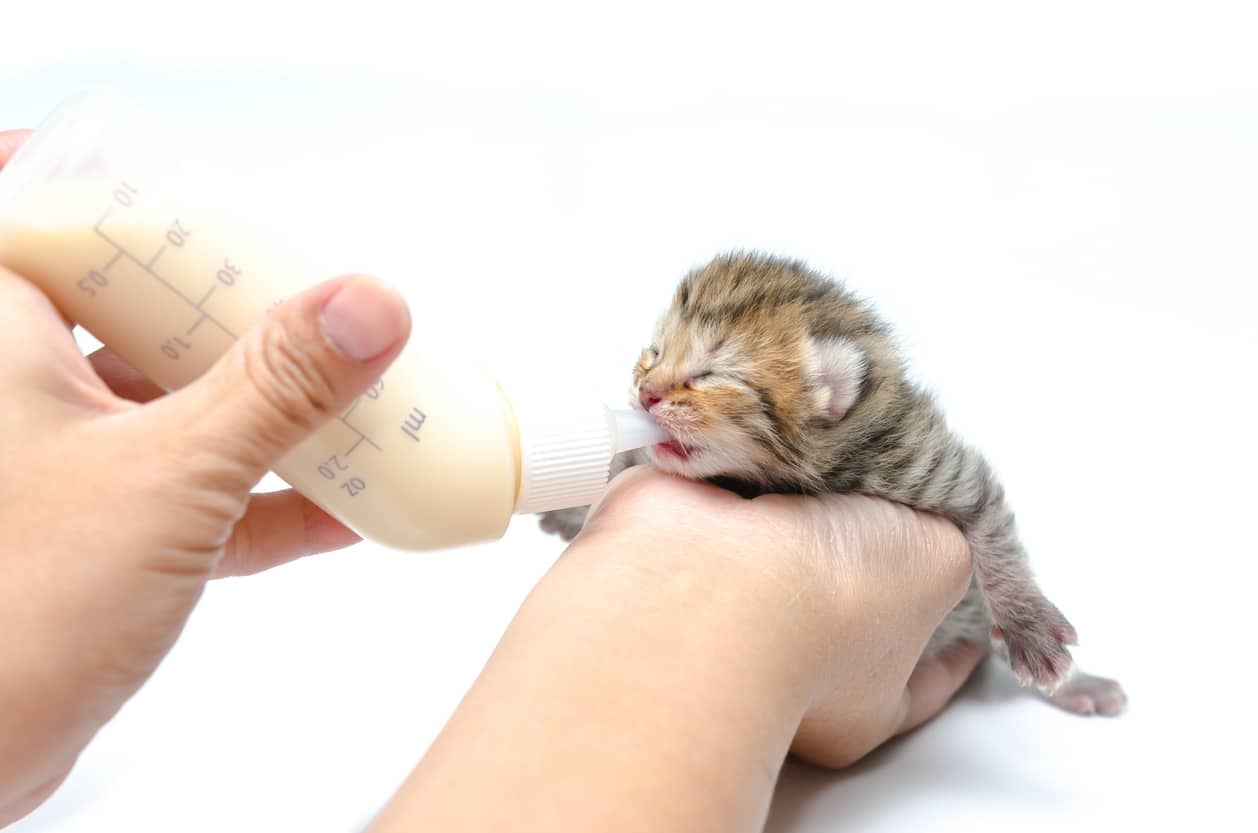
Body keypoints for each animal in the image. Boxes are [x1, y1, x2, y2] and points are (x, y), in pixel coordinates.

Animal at [538, 252, 1122, 719]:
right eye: (655, 353)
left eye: (709, 374)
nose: (646, 395)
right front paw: (573, 509)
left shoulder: (930, 465)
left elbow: (994, 534)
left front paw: (1028, 626)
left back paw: (1081, 686)